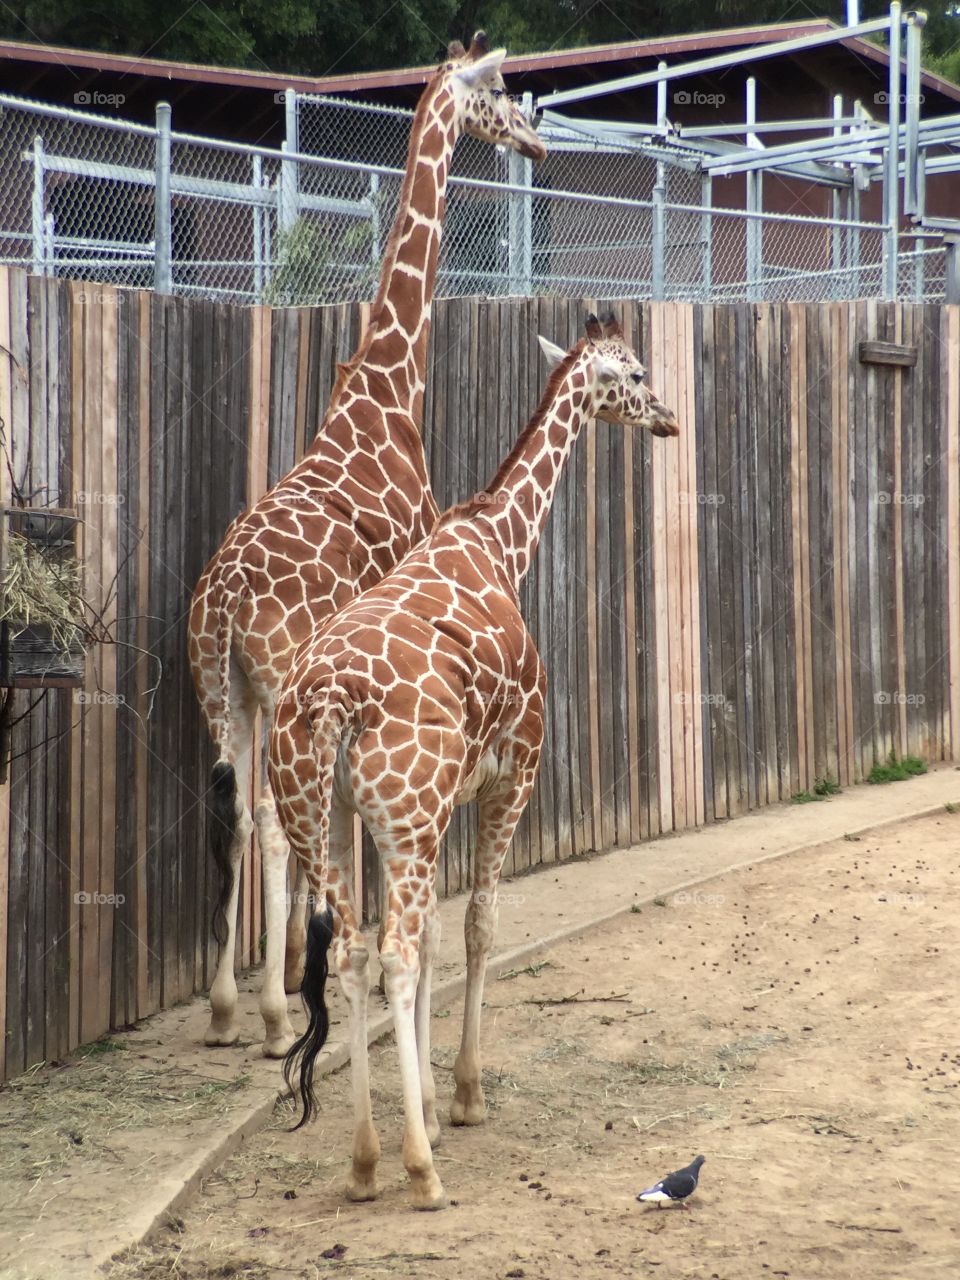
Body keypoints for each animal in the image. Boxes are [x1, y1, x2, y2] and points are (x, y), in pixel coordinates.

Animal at [187, 34, 546, 1058]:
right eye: (501, 92)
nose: (538, 140)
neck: (385, 394)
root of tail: (225, 598)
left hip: (220, 682)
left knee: (240, 805)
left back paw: (226, 1006)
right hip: (273, 672)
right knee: (275, 817)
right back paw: (276, 1013)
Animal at [266, 313, 679, 1209]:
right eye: (634, 371)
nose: (667, 417)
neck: (499, 539)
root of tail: (330, 699)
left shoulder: (440, 804)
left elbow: (434, 945)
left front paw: (424, 1093)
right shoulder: (512, 773)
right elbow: (479, 927)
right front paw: (461, 1097)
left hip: (328, 820)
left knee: (355, 954)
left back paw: (365, 1165)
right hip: (400, 818)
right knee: (389, 953)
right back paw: (420, 1172)